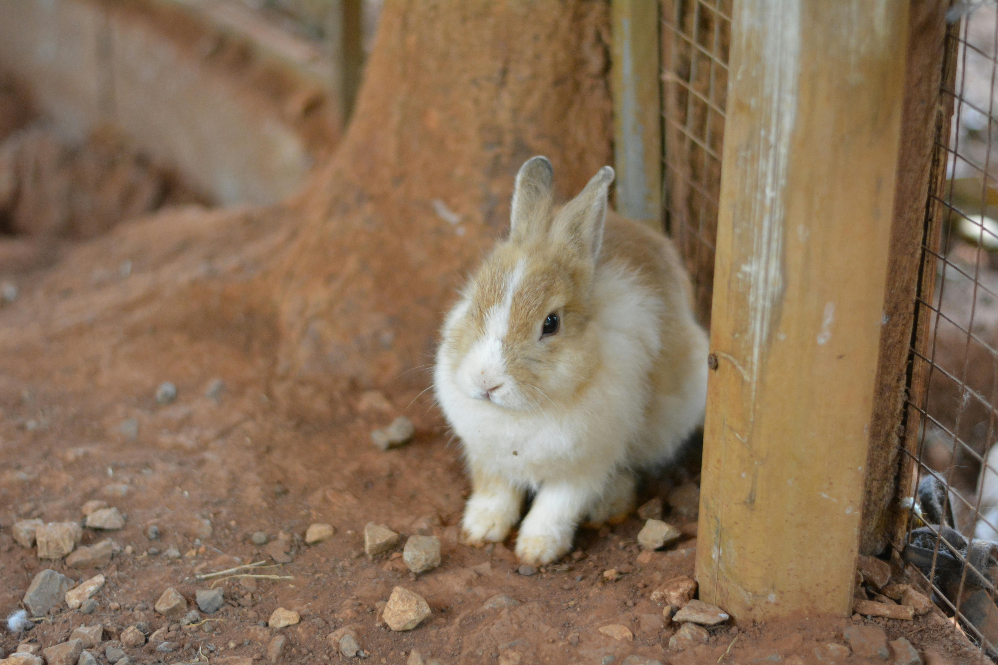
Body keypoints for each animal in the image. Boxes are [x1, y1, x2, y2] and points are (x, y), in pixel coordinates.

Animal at [434, 156, 709, 565]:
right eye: (474, 303)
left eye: (551, 323)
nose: (486, 382)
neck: (521, 414)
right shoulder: (489, 457)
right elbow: (495, 492)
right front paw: (480, 529)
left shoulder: (585, 465)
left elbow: (556, 505)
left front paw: (536, 549)